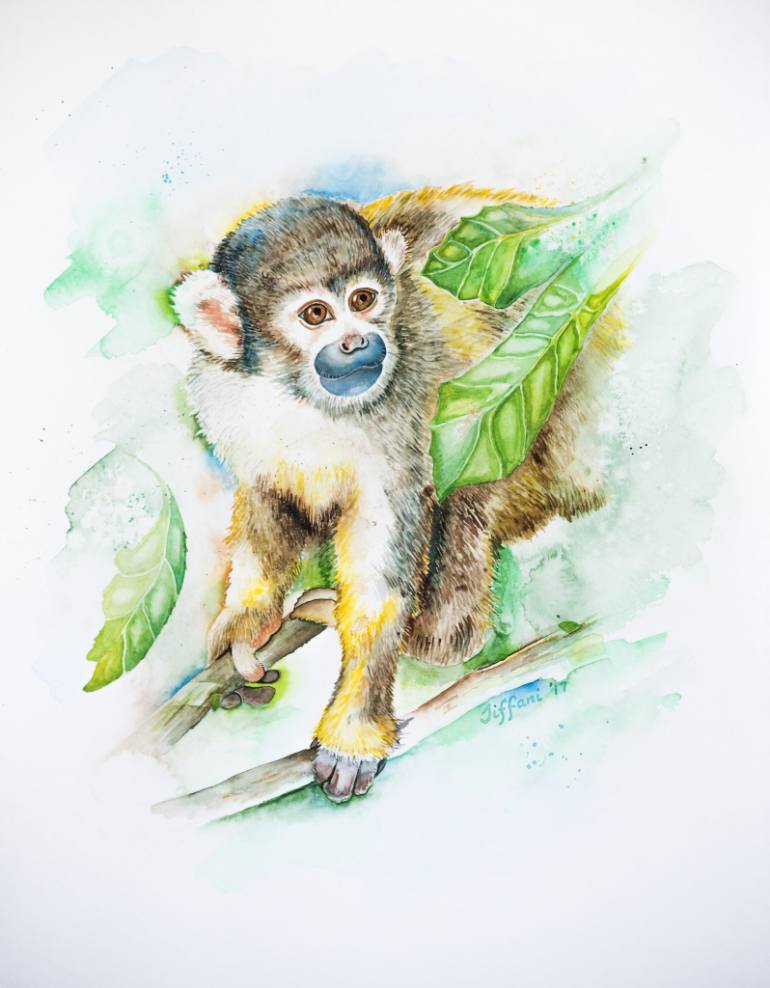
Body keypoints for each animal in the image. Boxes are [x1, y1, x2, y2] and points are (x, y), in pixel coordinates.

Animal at [172, 186, 623, 802]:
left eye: (364, 299)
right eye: (316, 314)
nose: (359, 341)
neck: (301, 397)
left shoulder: (405, 409)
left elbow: (379, 580)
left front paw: (353, 735)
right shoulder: (228, 397)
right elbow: (271, 498)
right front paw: (247, 621)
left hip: (541, 451)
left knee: (465, 489)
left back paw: (434, 640)